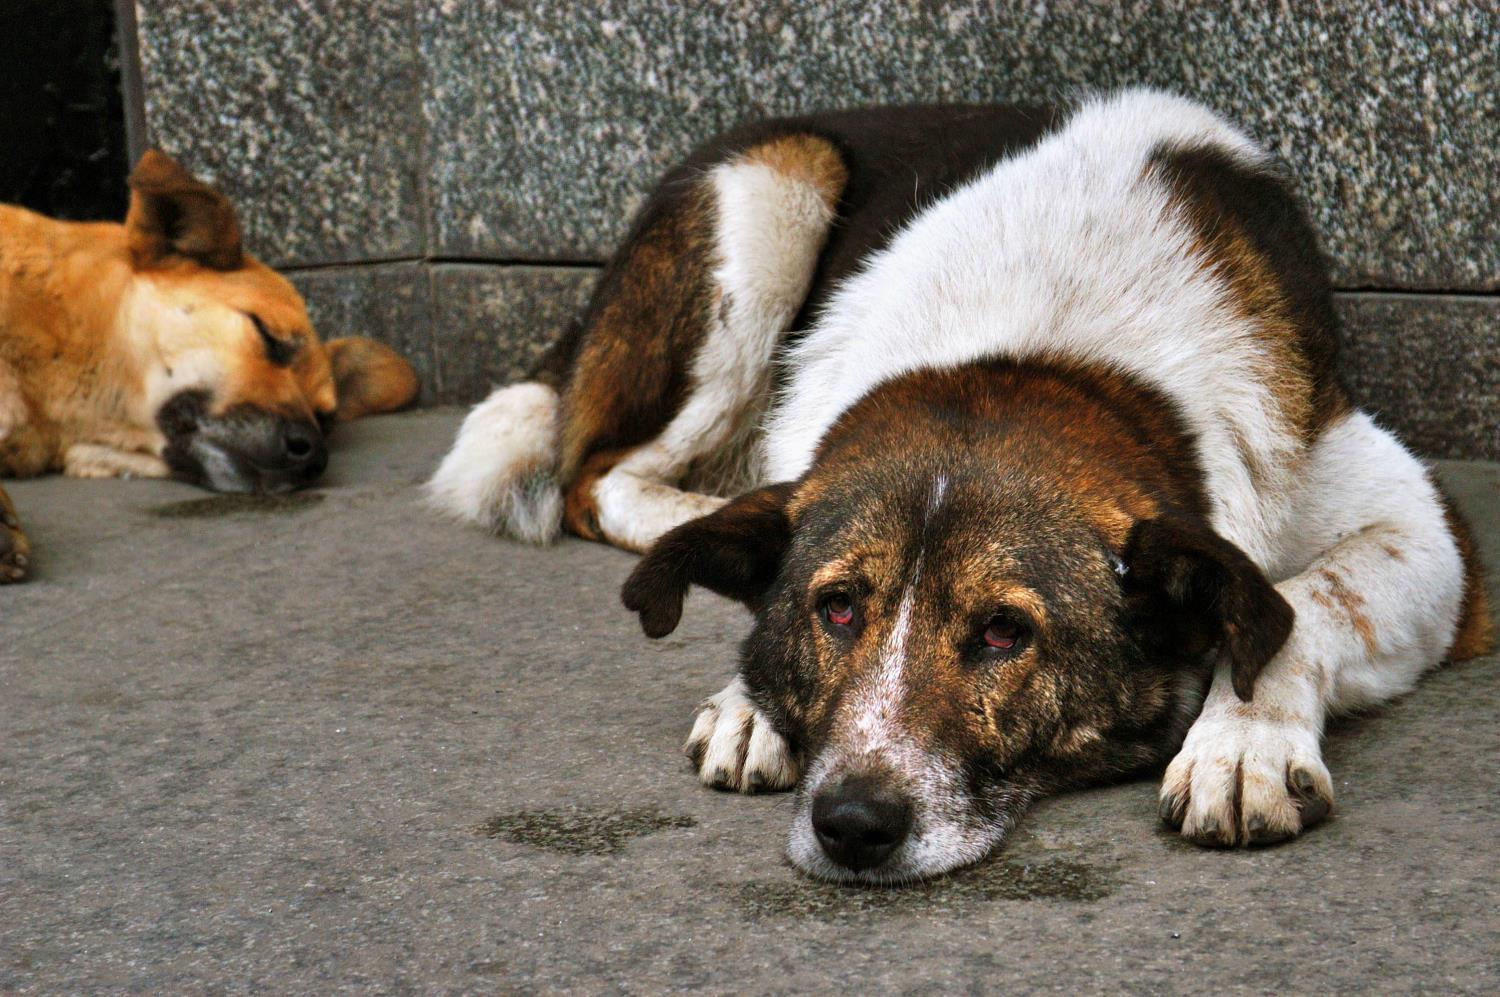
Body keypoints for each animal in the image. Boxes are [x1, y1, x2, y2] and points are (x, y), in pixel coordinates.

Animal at [432, 91, 1488, 881]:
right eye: (838, 609)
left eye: (1004, 632)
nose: (853, 824)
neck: (1037, 351)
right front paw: (746, 689)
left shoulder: (1426, 526)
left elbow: (1306, 601)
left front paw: (1242, 743)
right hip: (773, 183)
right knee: (595, 473)